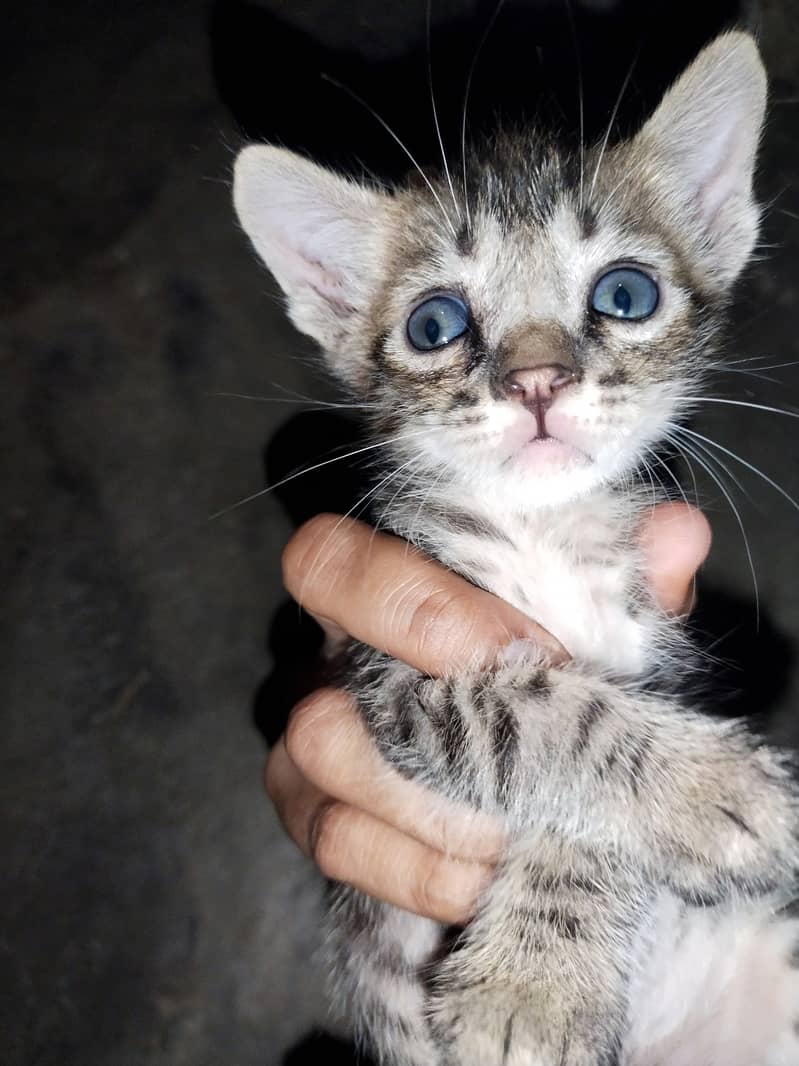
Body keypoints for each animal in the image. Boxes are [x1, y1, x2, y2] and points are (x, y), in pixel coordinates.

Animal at [231, 29, 799, 1066]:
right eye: (435, 324)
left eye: (625, 294)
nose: (537, 382)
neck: (545, 532)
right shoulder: (394, 678)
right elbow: (537, 713)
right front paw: (710, 792)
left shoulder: (649, 643)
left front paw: (532, 980)